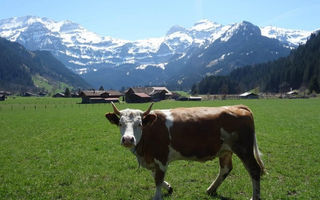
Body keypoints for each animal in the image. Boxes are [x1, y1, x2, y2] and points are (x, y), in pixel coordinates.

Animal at [105, 102, 264, 199]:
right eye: (120, 123)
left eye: (139, 124)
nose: (128, 139)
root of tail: (237, 106)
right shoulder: (151, 159)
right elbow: (154, 175)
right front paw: (169, 188)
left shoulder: (161, 158)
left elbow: (158, 179)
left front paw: (158, 195)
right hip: (225, 150)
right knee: (225, 169)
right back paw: (211, 190)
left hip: (244, 149)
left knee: (254, 170)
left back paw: (254, 197)